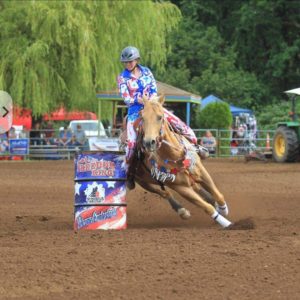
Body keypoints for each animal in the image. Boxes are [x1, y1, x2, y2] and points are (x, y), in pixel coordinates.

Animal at [127, 95, 233, 229]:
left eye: (160, 117)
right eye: (142, 117)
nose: (148, 142)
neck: (175, 155)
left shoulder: (200, 171)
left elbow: (218, 195)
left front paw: (223, 209)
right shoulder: (180, 187)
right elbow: (206, 207)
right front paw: (226, 223)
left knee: (197, 188)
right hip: (142, 181)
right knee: (165, 193)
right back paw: (182, 211)